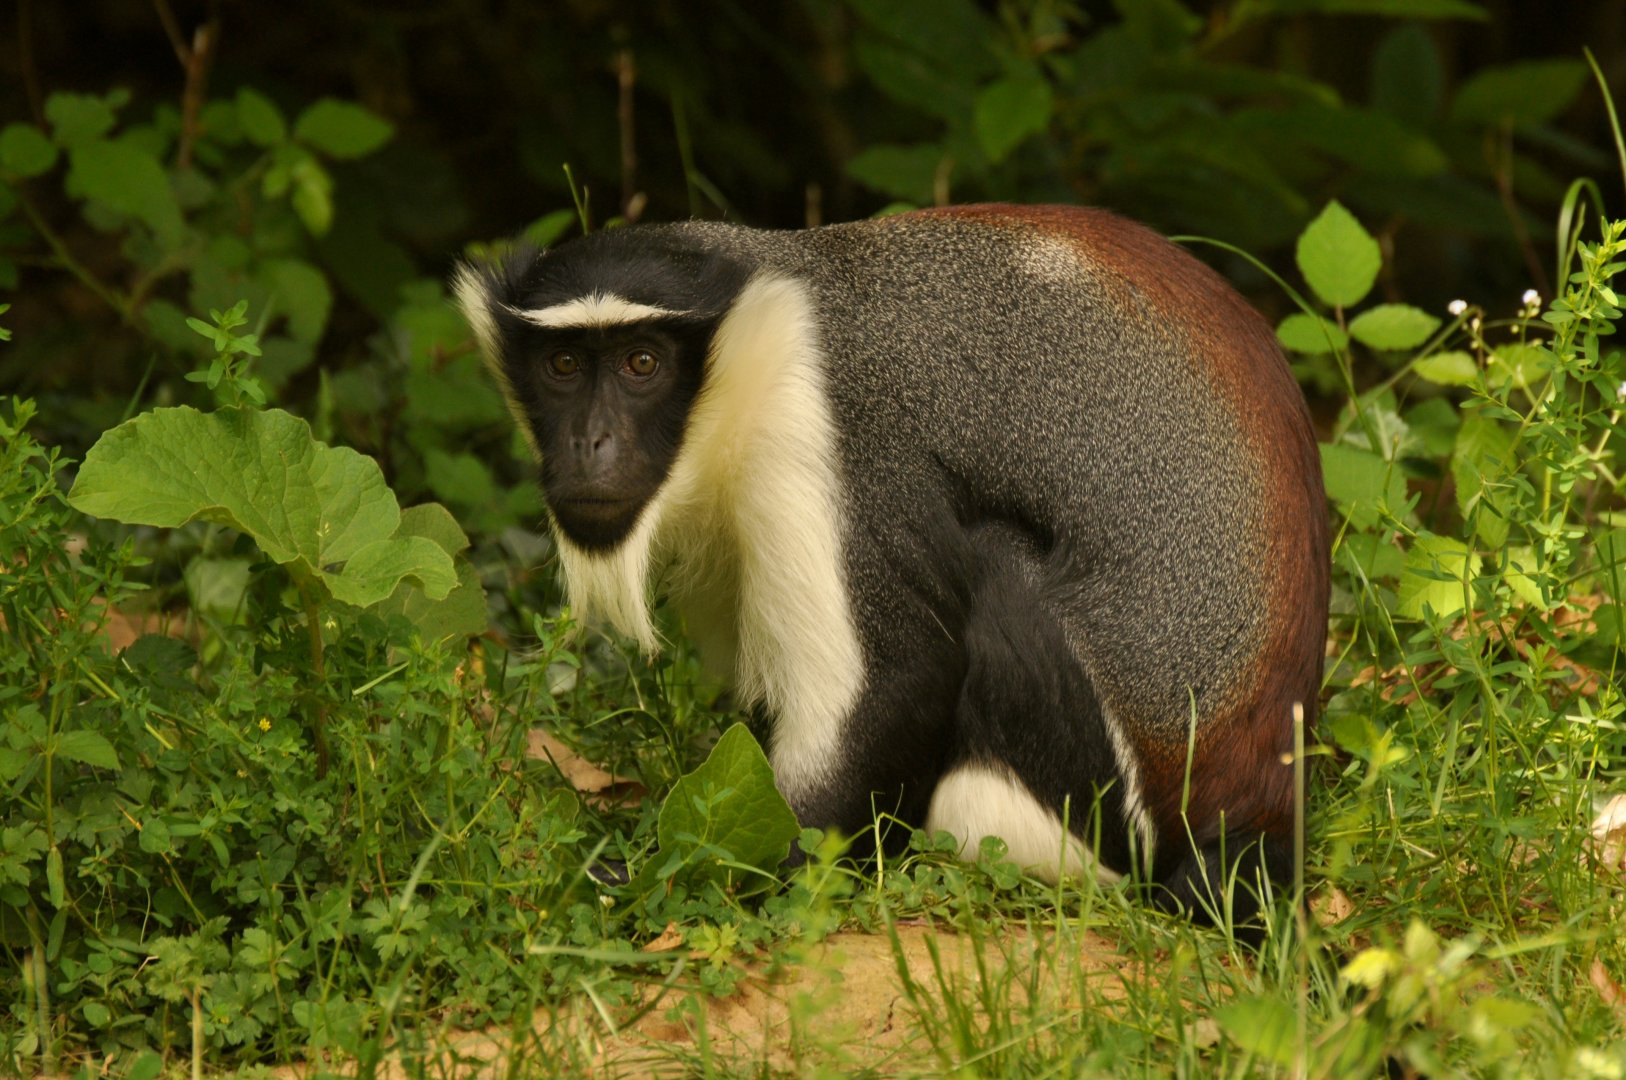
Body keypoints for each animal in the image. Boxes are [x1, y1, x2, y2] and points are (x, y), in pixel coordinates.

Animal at [453, 203, 1328, 927]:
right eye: (564, 366)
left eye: (641, 363)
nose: (589, 443)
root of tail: (1263, 802)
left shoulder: (830, 433)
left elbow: (893, 684)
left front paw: (696, 879)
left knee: (994, 564)